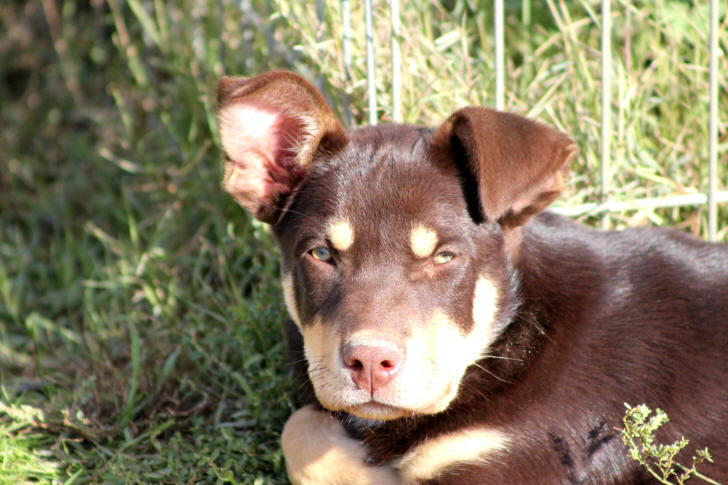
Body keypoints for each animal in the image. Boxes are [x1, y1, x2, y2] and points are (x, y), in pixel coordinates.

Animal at [216, 70, 728, 482]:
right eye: (321, 253)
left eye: (444, 257)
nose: (369, 364)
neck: (515, 333)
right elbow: (301, 426)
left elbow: (309, 435)